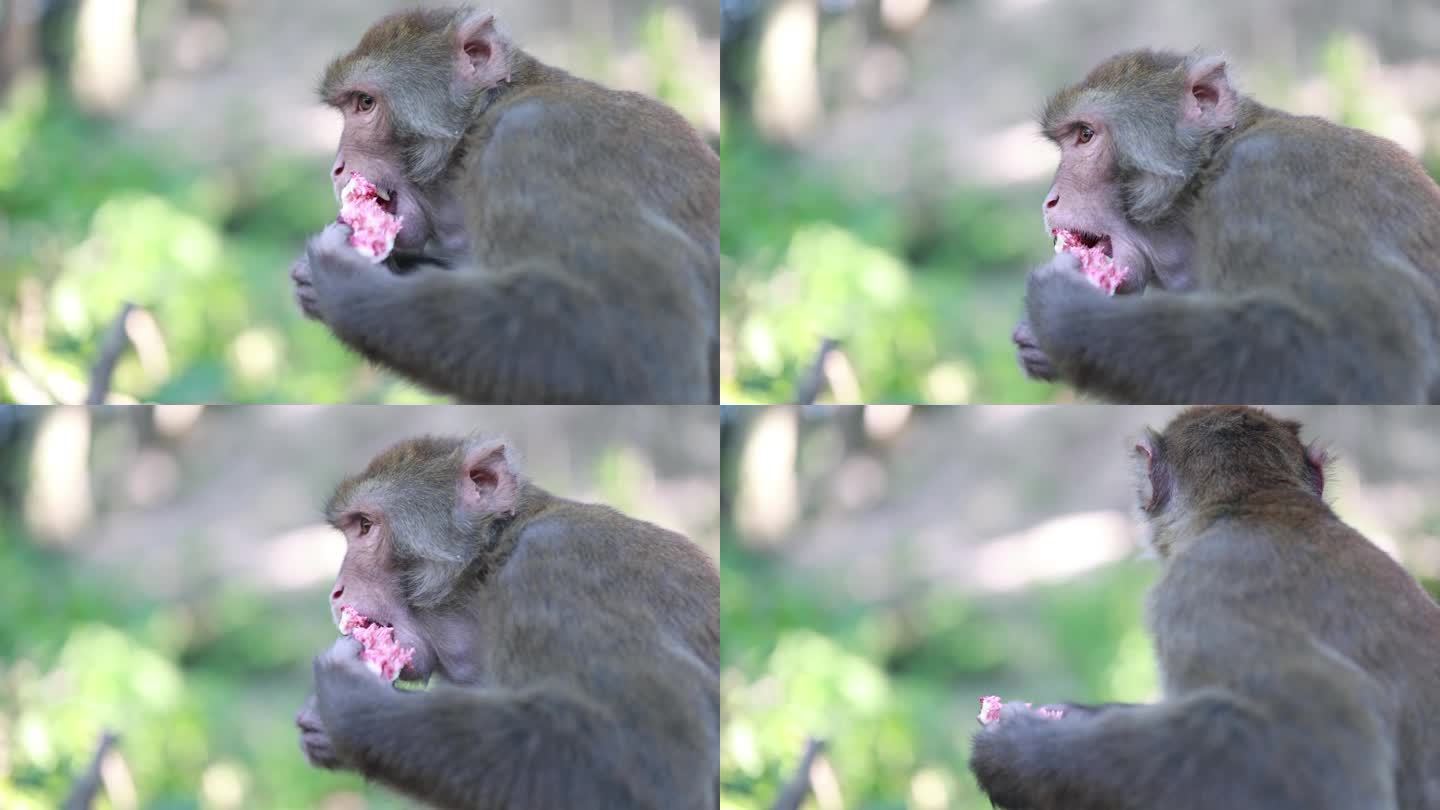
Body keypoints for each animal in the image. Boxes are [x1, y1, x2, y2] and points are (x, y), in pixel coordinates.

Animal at [292, 435, 720, 807]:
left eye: (365, 526)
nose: (336, 591)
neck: (489, 568)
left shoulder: (557, 565)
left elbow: (655, 759)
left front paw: (345, 701)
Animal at [1019, 49, 1440, 400]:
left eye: (1085, 135)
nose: (1049, 200)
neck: (1205, 178)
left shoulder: (1266, 182)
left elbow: (1372, 352)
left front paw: (1060, 314)